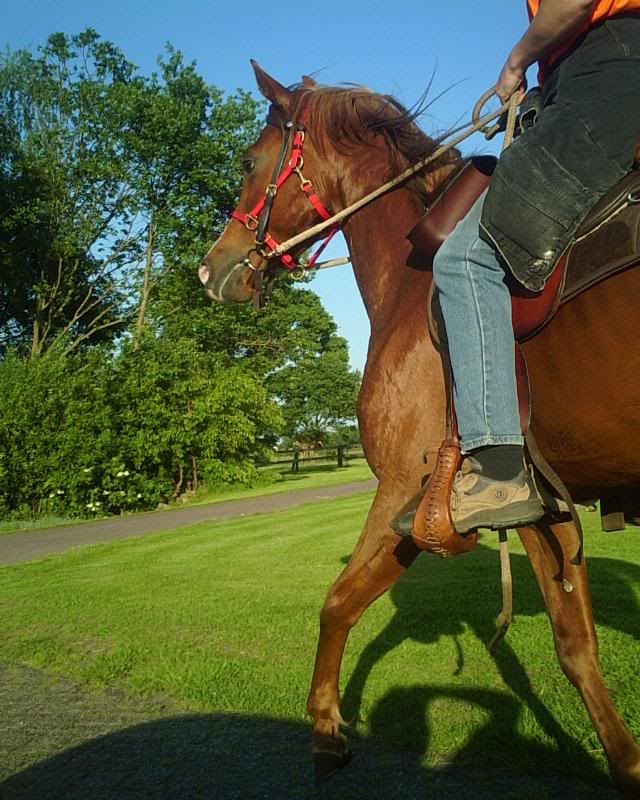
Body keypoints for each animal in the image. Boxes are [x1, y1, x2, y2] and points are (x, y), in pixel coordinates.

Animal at [198, 62, 640, 798]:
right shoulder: (541, 508)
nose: (214, 268)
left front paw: (325, 731)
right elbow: (576, 645)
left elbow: (337, 603)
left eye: (249, 161)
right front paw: (625, 764)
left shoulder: (404, 495)